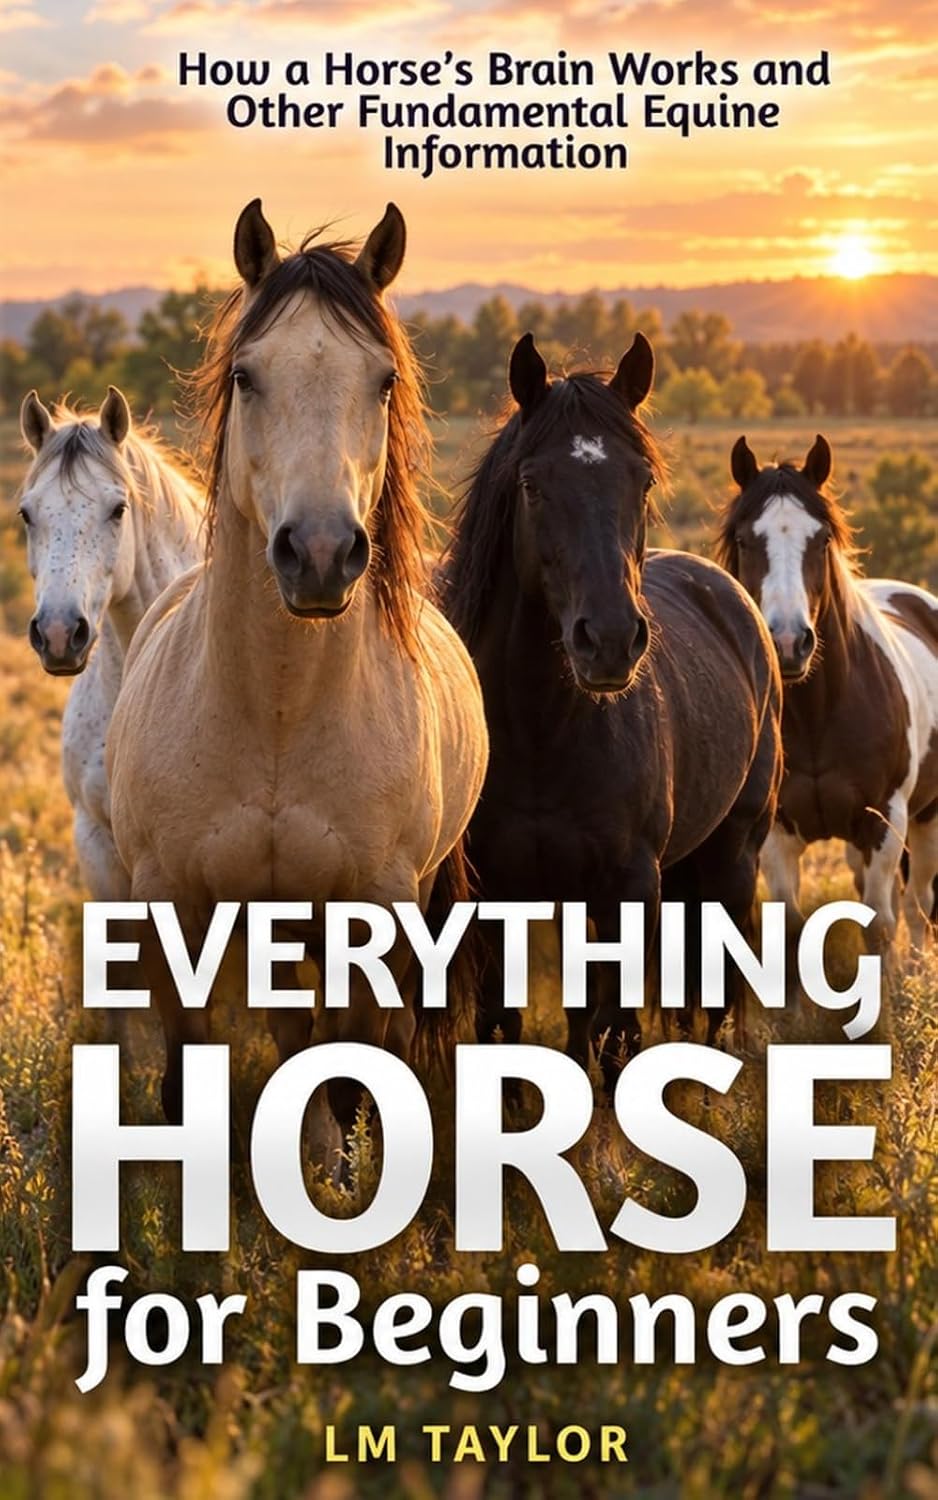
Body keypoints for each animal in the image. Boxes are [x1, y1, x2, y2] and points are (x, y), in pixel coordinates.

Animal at [106, 199, 488, 1138]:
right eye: (247, 376)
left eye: (382, 381)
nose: (318, 554)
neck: (277, 715)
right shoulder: (172, 915)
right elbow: (187, 1079)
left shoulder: (377, 918)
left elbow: (352, 1085)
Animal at [439, 331, 781, 1083]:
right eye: (532, 485)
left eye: (642, 481)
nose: (613, 641)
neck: (541, 733)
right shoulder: (490, 898)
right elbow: (507, 1033)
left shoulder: (630, 887)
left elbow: (616, 1036)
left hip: (732, 857)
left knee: (712, 1004)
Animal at [716, 433, 938, 953]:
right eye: (744, 540)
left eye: (821, 540)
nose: (787, 642)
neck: (819, 714)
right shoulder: (777, 834)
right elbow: (791, 928)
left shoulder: (883, 822)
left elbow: (880, 927)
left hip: (926, 817)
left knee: (918, 906)